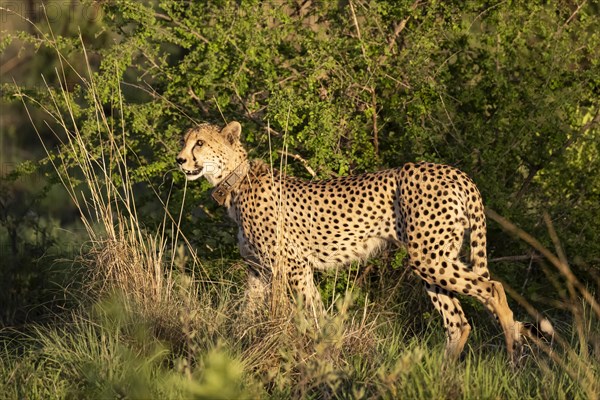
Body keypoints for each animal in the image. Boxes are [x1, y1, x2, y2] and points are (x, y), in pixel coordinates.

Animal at [177, 119, 544, 360]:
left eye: (200, 143)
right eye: (184, 141)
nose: (179, 159)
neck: (234, 182)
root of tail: (455, 171)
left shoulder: (289, 265)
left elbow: (282, 309)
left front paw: (278, 343)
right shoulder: (259, 270)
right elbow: (260, 311)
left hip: (430, 257)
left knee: (493, 289)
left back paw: (512, 351)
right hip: (433, 257)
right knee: (458, 322)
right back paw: (443, 373)